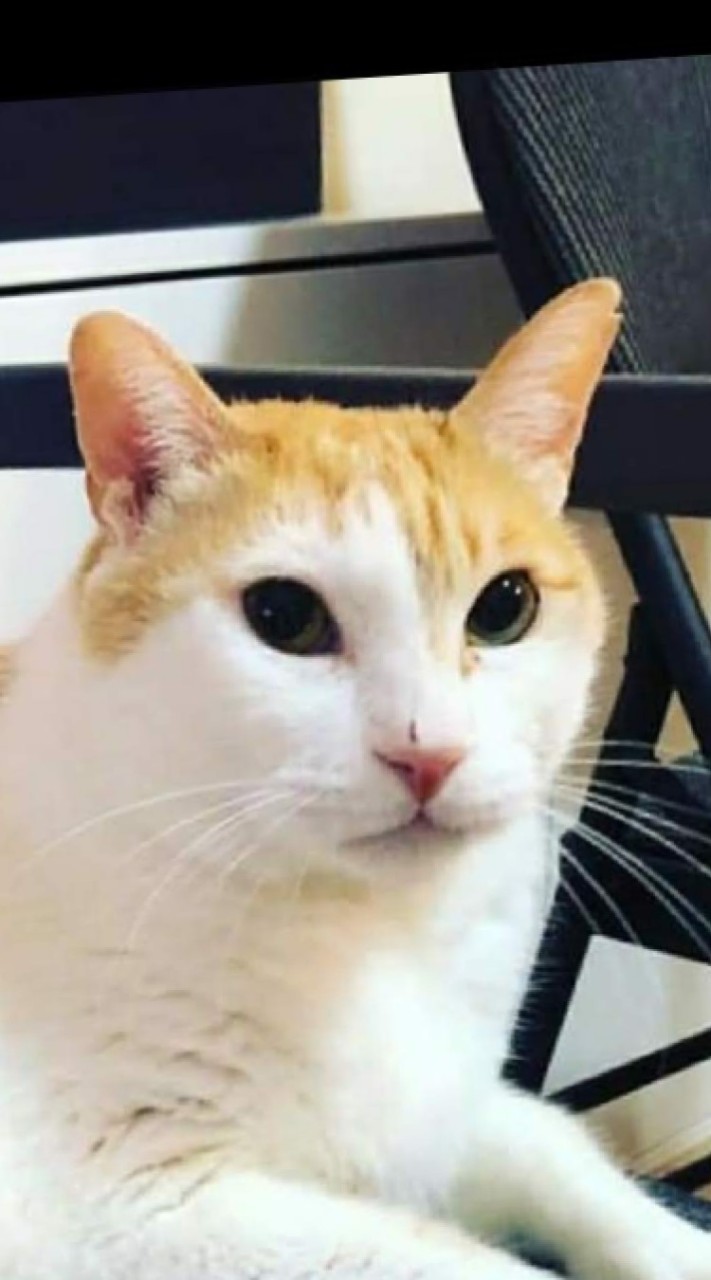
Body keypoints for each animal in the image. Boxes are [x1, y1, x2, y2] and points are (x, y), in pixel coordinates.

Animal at [0, 279, 707, 1278]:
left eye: (505, 606)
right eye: (284, 616)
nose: (429, 752)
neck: (369, 935)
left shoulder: (455, 1110)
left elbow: (557, 1149)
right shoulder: (134, 1211)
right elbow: (465, 1263)